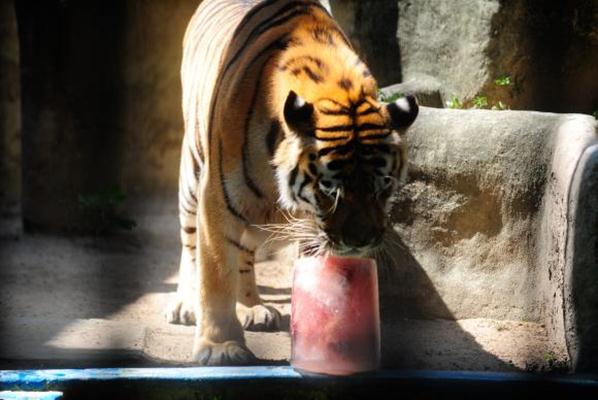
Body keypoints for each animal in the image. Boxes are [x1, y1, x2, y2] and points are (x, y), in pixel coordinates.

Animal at [163, 0, 418, 364]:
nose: (361, 241)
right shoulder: (215, 200)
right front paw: (220, 347)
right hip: (192, 175)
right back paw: (185, 303)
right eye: (330, 188)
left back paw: (253, 308)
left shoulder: (312, 228)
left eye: (383, 185)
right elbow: (216, 273)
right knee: (190, 245)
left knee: (244, 255)